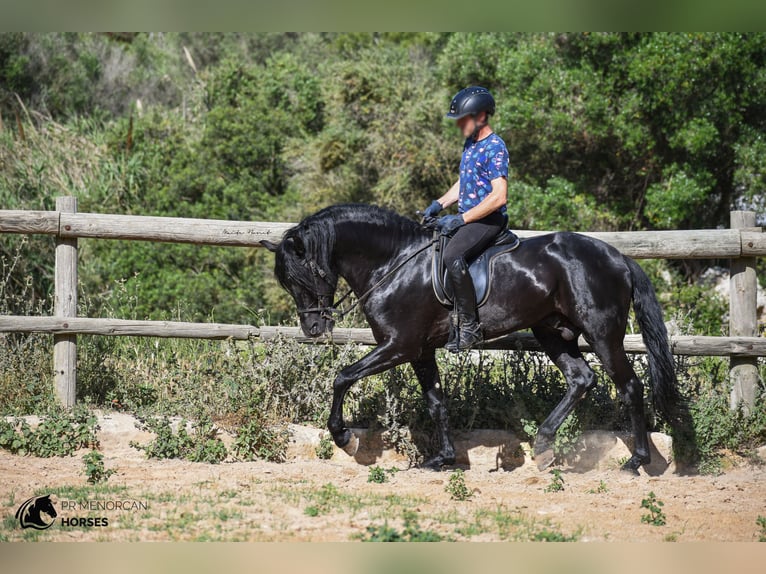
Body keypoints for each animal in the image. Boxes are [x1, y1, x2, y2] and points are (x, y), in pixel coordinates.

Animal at [262, 205, 688, 474]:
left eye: (304, 275)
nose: (312, 329)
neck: (394, 263)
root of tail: (618, 257)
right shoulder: (420, 351)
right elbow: (436, 403)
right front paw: (444, 459)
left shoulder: (398, 346)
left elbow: (343, 376)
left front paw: (344, 438)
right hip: (552, 331)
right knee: (581, 379)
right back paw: (543, 447)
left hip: (602, 334)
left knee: (629, 386)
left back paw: (635, 462)